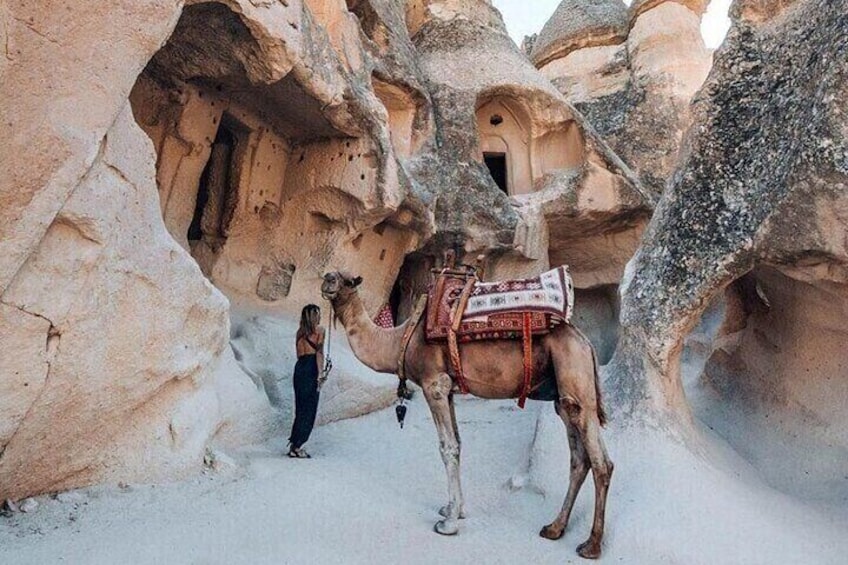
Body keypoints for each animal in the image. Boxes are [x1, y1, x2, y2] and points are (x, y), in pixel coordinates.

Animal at [322, 270, 612, 556]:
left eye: (348, 280)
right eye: (333, 274)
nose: (327, 280)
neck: (401, 339)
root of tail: (585, 342)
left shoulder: (434, 384)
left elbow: (447, 447)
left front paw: (448, 524)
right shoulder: (448, 389)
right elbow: (458, 444)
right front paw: (454, 508)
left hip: (574, 375)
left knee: (601, 463)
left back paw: (591, 545)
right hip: (563, 393)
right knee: (579, 459)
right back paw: (554, 528)